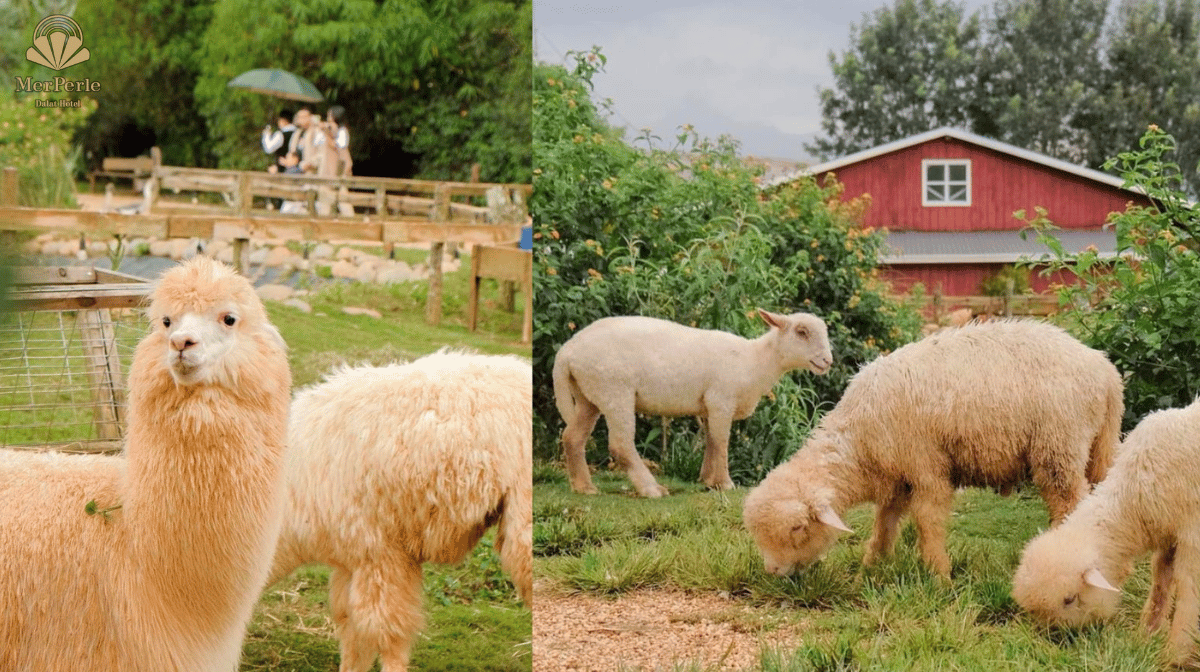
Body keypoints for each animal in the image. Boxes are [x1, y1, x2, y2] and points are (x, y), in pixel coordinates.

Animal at [554, 312, 830, 496]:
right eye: (802, 332)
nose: (828, 360)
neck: (755, 360)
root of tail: (567, 352)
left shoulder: (709, 406)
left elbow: (711, 441)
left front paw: (707, 480)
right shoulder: (721, 400)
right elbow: (722, 442)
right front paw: (726, 483)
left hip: (588, 395)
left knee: (572, 437)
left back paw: (585, 487)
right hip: (614, 390)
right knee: (620, 444)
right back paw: (651, 489)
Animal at [739, 319, 1123, 578]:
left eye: (797, 529)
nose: (773, 572)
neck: (859, 444)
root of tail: (1105, 370)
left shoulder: (925, 465)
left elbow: (928, 520)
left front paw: (939, 575)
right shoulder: (897, 475)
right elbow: (886, 521)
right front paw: (871, 564)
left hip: (1058, 446)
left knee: (1069, 501)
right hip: (1100, 444)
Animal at [1017, 398, 1200, 667]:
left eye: (1069, 600)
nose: (1058, 641)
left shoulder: (1192, 534)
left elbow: (1189, 591)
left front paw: (1176, 653)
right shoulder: (1167, 535)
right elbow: (1160, 583)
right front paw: (1146, 634)